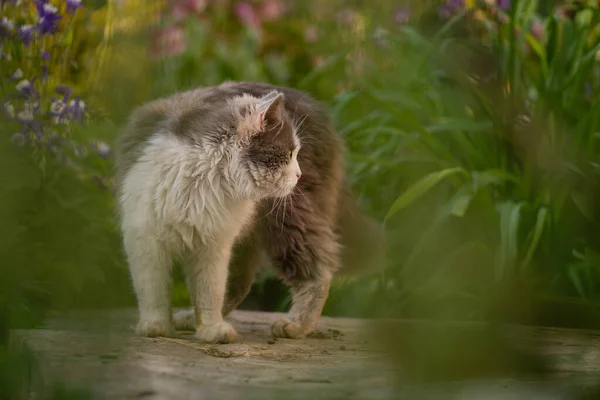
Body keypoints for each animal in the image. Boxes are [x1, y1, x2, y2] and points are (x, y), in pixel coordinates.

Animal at [115, 81, 382, 344]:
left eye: (297, 153)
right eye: (288, 154)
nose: (299, 174)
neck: (202, 180)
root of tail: (319, 110)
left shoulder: (212, 245)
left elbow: (209, 292)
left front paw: (211, 329)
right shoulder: (145, 240)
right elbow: (153, 291)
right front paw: (156, 327)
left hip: (288, 222)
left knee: (316, 272)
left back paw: (295, 325)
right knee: (240, 283)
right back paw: (191, 319)